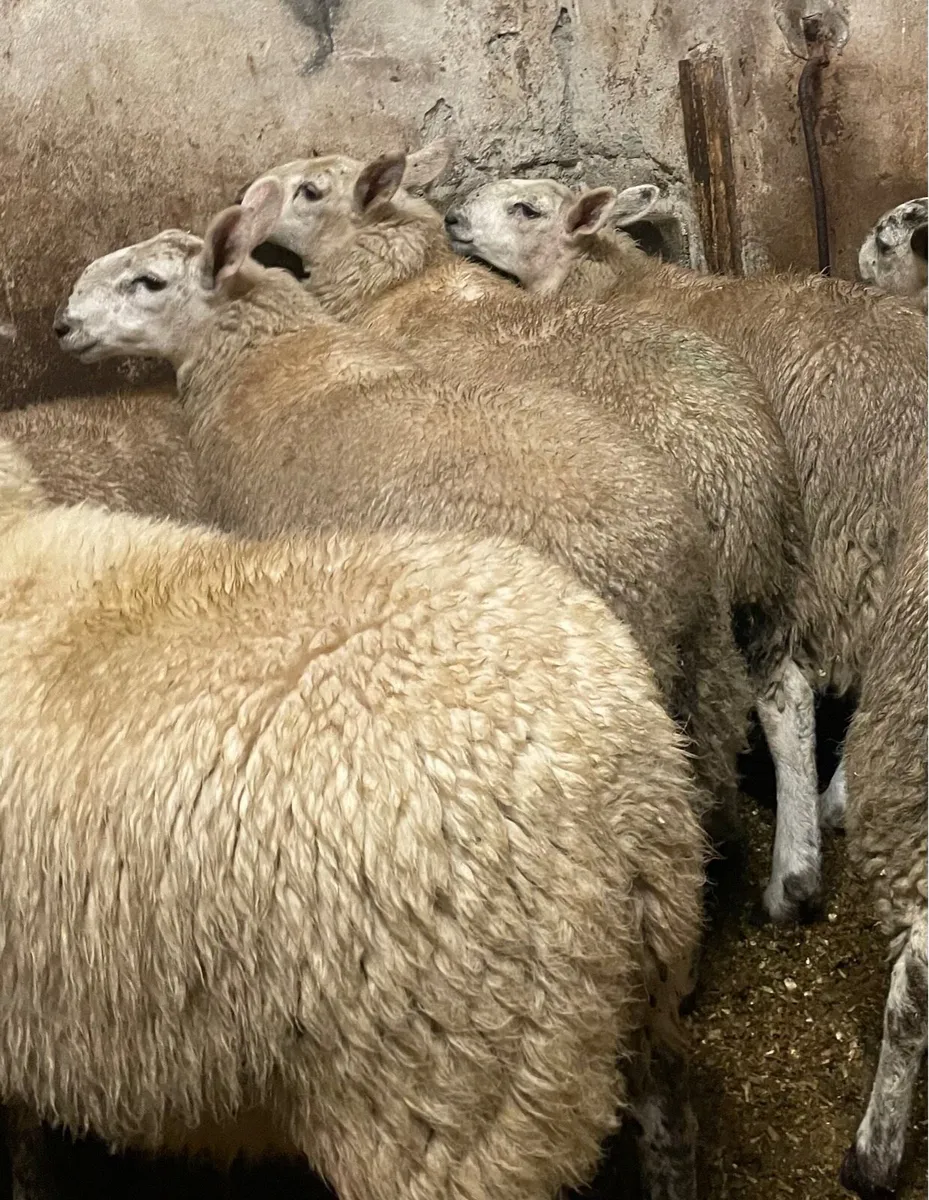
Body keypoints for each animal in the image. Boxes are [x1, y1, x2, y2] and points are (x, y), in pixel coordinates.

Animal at [239, 144, 818, 922]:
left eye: (308, 189)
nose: (246, 199)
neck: (405, 282)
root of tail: (745, 470)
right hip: (764, 585)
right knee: (790, 696)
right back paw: (794, 874)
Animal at [444, 172, 928, 900]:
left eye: (525, 208)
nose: (449, 218)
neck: (612, 280)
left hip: (830, 541)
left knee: (805, 684)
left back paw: (806, 846)